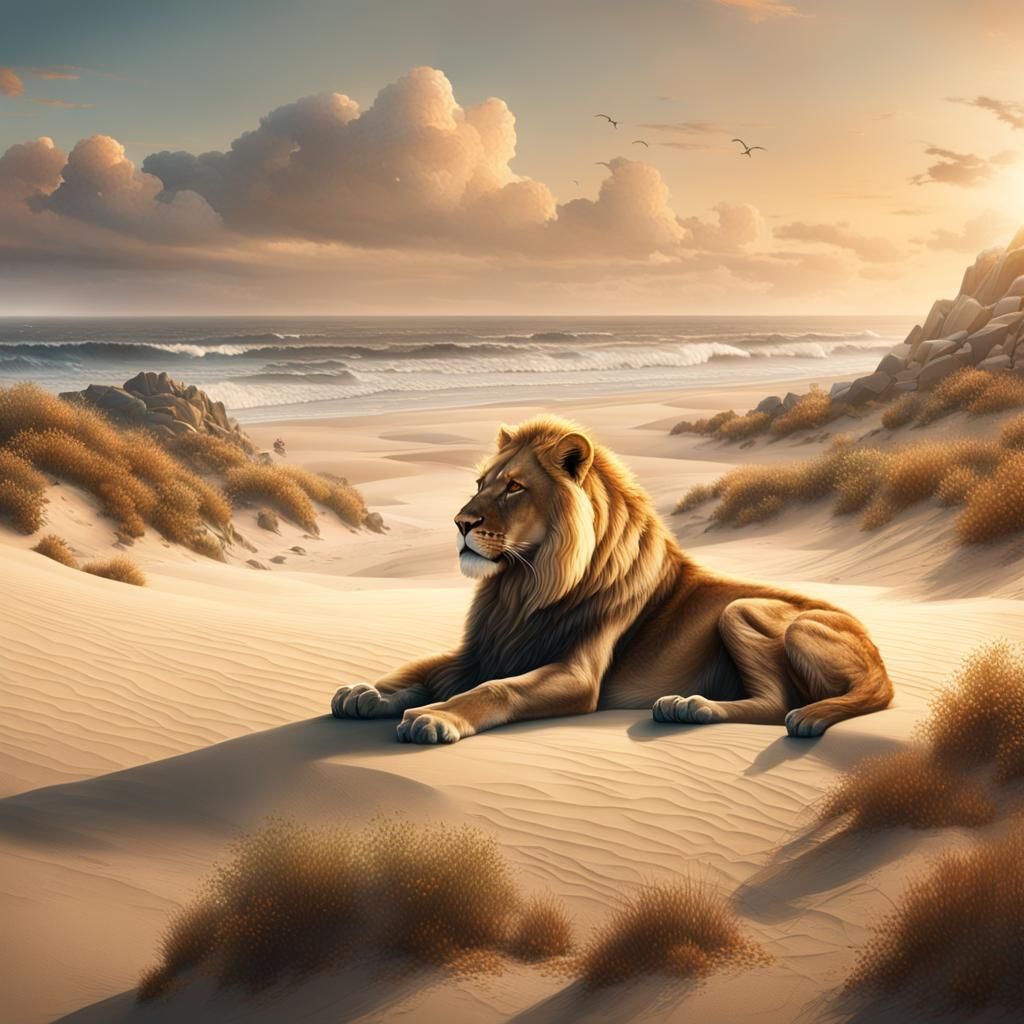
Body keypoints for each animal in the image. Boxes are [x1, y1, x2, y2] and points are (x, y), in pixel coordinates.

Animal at [331, 415, 893, 744]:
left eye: (513, 487)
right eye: (479, 483)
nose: (460, 523)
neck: (522, 586)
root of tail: (879, 663)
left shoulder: (576, 675)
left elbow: (495, 690)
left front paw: (435, 717)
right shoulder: (487, 649)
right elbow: (421, 668)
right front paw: (367, 693)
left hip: (748, 611)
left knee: (779, 705)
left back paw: (692, 705)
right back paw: (685, 710)